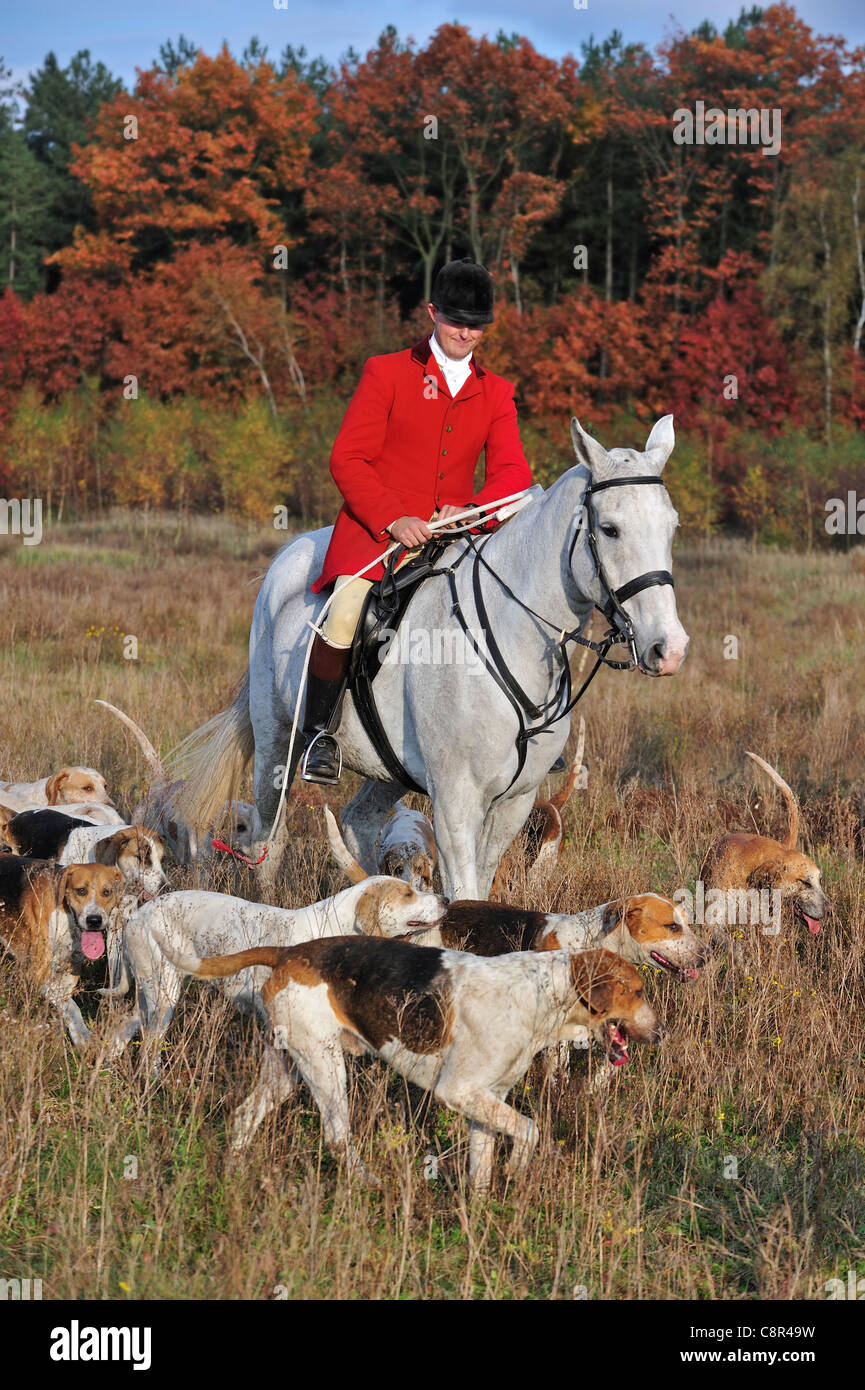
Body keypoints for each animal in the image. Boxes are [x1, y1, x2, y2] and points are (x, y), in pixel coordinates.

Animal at [174, 411, 692, 895]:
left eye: (672, 527)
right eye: (610, 529)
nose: (669, 649)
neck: (511, 632)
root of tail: (292, 552)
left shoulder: (514, 804)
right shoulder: (454, 803)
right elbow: (464, 893)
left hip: (386, 765)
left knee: (357, 822)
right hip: (276, 740)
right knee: (269, 838)